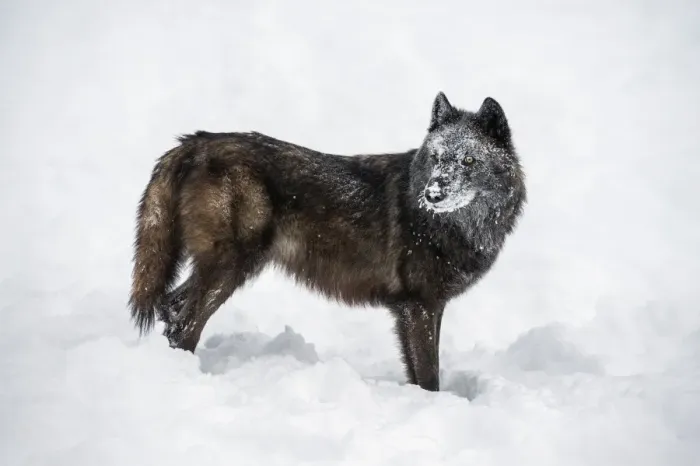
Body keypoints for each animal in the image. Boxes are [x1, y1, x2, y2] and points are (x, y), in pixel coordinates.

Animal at [129, 92, 526, 391]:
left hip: (223, 269)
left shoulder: (426, 307)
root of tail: (192, 143)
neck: (453, 226)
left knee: (169, 306)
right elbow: (429, 377)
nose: (433, 194)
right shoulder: (418, 306)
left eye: (469, 160)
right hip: (229, 269)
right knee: (183, 325)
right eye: (436, 157)